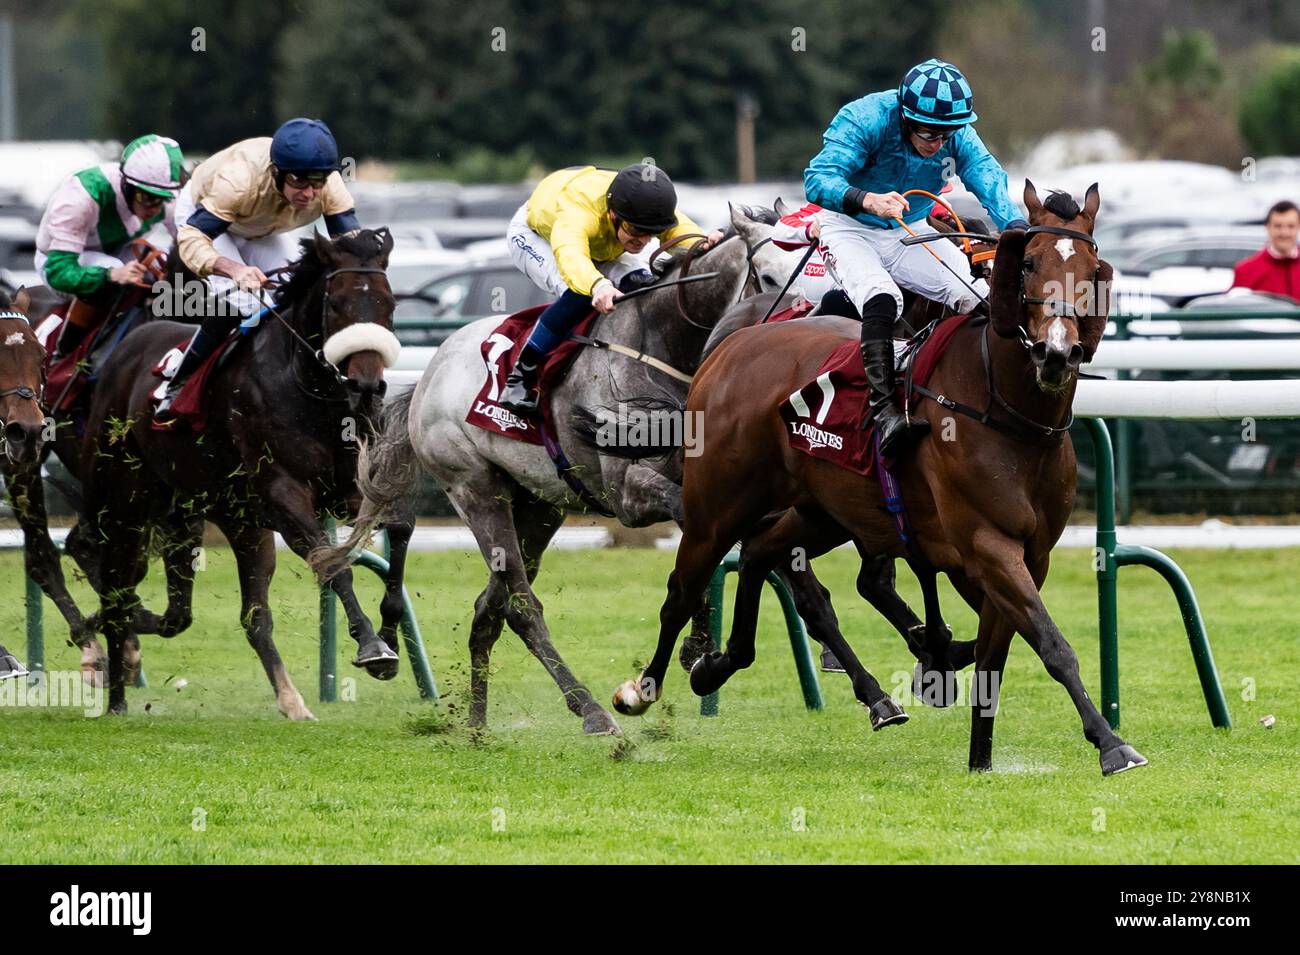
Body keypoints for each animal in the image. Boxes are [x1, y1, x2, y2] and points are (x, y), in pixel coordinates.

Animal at [83, 226, 403, 717]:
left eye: (389, 304)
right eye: (336, 304)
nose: (367, 386)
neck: (310, 392)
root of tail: (127, 349)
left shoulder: (349, 492)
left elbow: (398, 531)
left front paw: (390, 629)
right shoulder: (284, 495)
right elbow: (334, 565)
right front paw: (373, 646)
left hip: (218, 518)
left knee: (228, 616)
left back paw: (291, 701)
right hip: (124, 502)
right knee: (116, 586)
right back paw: (116, 693)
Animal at [611, 180, 1149, 779]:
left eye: (1092, 268)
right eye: (1028, 262)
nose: (1056, 352)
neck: (1006, 411)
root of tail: (731, 347)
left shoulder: (1028, 555)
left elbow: (997, 652)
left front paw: (979, 756)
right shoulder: (987, 545)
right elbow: (1050, 643)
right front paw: (1112, 744)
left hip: (822, 512)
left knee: (763, 555)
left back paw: (725, 663)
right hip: (716, 508)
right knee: (684, 591)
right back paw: (642, 690)